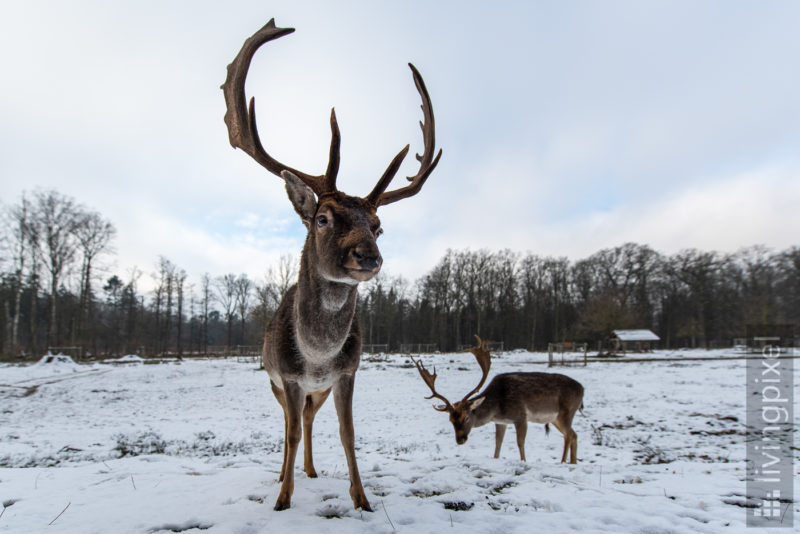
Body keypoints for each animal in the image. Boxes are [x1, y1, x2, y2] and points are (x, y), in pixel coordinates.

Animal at [222, 19, 440, 516]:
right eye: (323, 218)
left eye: (378, 226)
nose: (369, 256)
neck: (318, 356)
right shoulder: (286, 377)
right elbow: (288, 433)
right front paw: (282, 499)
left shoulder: (345, 375)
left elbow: (348, 433)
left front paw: (362, 498)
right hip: (278, 383)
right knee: (291, 424)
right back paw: (287, 474)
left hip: (316, 391)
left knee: (307, 420)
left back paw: (309, 470)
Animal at [412, 340, 580, 464]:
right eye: (451, 420)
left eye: (466, 417)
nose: (460, 440)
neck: (498, 408)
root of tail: (582, 389)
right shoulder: (501, 422)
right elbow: (498, 444)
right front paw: (496, 457)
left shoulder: (521, 417)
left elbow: (520, 443)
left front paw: (523, 461)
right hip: (555, 419)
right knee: (572, 435)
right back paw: (569, 462)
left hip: (566, 413)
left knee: (570, 435)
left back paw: (566, 462)